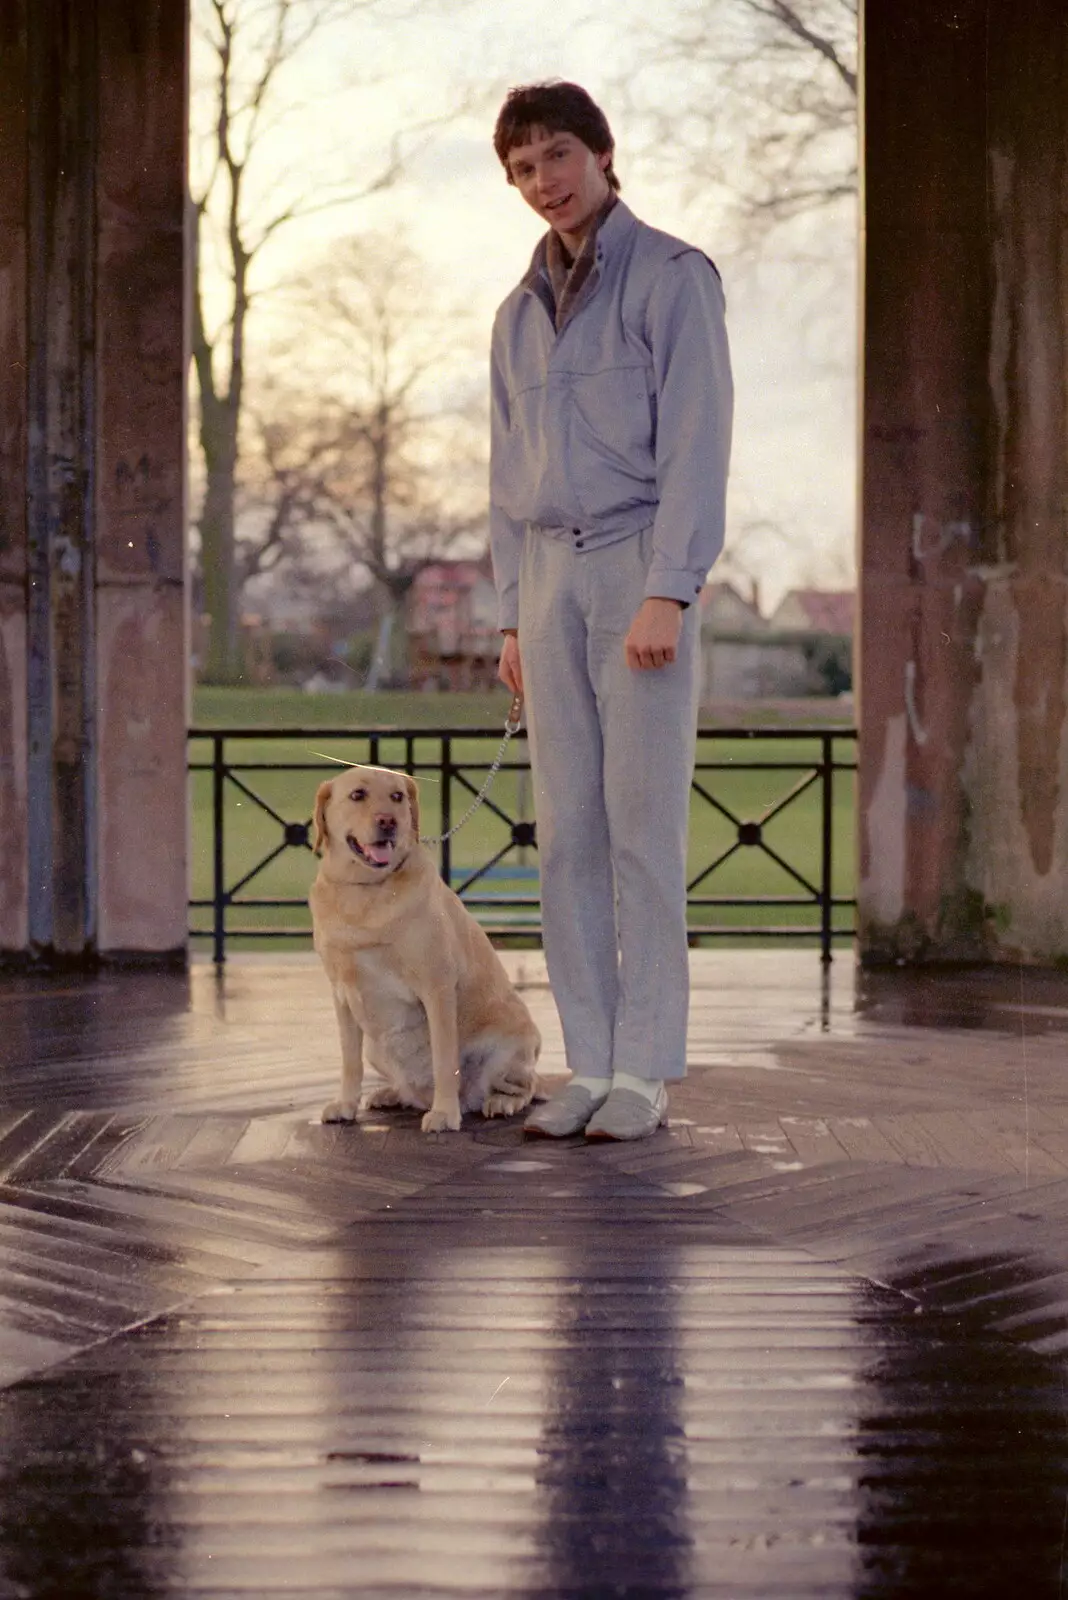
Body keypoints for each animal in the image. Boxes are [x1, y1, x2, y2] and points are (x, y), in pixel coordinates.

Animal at [308, 764, 543, 1132]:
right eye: (358, 794)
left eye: (397, 796)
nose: (389, 821)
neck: (364, 892)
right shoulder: (342, 995)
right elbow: (349, 1060)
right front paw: (346, 1105)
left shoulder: (437, 987)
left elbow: (445, 1061)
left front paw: (445, 1113)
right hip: (376, 1047)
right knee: (408, 1088)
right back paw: (392, 1093)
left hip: (509, 1044)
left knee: (524, 1086)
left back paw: (499, 1101)